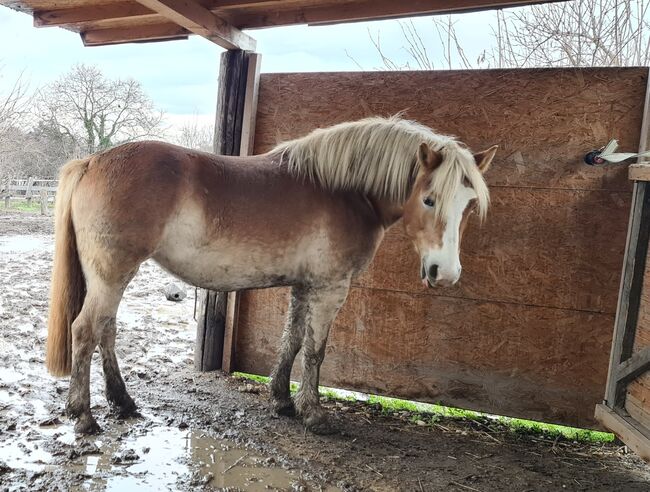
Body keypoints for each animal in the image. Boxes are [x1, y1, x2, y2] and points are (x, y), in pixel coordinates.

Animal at [45, 115, 494, 434]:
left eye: (470, 205)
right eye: (429, 199)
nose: (445, 273)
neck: (344, 191)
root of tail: (93, 160)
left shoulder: (304, 286)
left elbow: (291, 342)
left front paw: (281, 401)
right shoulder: (330, 288)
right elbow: (315, 351)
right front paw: (314, 414)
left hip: (111, 278)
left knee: (106, 331)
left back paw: (122, 401)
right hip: (112, 275)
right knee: (85, 331)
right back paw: (84, 416)